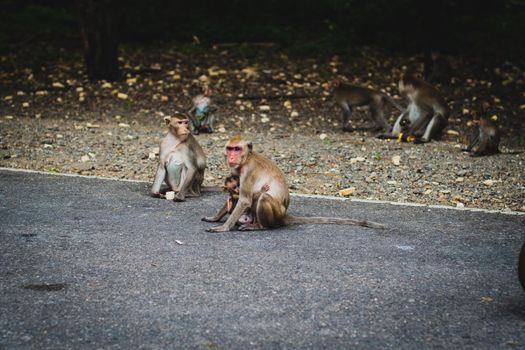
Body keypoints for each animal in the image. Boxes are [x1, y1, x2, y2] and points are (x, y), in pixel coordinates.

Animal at [203, 135, 386, 232]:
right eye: (230, 148)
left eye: (237, 149)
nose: (231, 157)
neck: (246, 158)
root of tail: (284, 215)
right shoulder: (236, 170)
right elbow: (234, 193)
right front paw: (215, 218)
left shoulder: (248, 171)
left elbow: (245, 200)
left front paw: (223, 227)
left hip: (276, 213)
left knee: (264, 197)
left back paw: (260, 226)